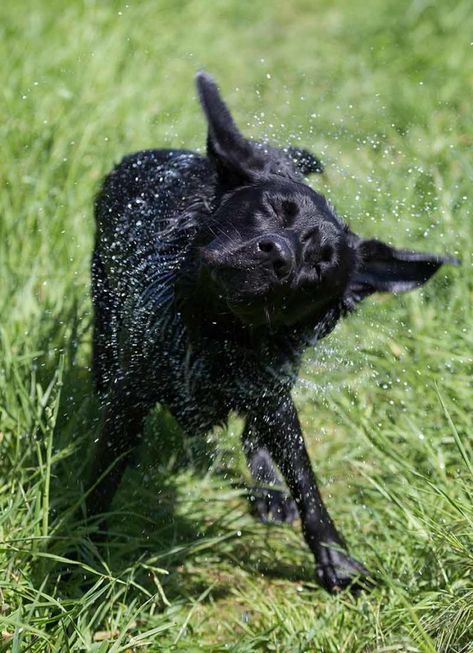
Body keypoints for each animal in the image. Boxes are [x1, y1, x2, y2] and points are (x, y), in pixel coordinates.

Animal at [88, 71, 458, 592]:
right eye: (273, 209)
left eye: (321, 263)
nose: (279, 255)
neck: (218, 334)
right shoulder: (133, 393)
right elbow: (102, 480)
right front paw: (78, 553)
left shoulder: (272, 394)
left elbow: (305, 481)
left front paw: (336, 560)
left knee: (258, 434)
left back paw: (268, 490)